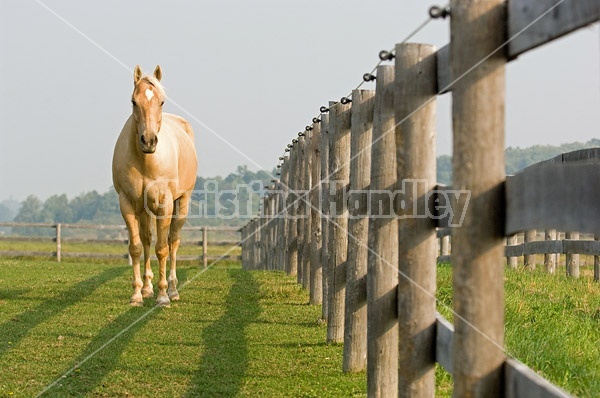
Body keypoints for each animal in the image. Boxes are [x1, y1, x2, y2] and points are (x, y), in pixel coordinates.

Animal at [112, 66, 197, 308]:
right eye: (133, 101)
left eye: (161, 101)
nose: (148, 141)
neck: (146, 160)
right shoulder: (127, 203)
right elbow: (136, 247)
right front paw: (137, 294)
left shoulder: (164, 204)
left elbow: (162, 249)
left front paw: (163, 296)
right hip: (143, 210)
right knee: (147, 240)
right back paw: (147, 287)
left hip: (181, 204)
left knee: (173, 242)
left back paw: (173, 289)